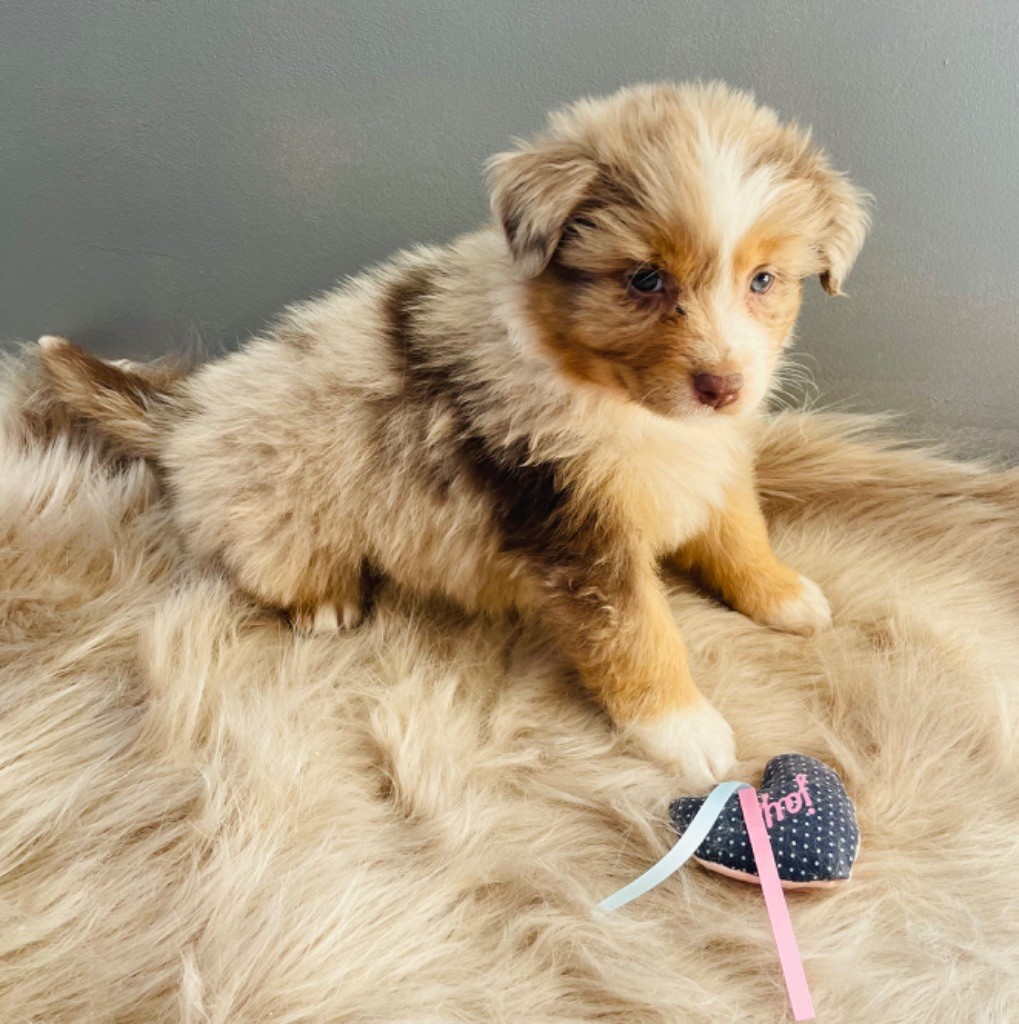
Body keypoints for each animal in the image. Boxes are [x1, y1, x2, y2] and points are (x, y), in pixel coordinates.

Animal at [39, 82, 869, 788]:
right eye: (643, 280)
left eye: (762, 280)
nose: (722, 386)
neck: (618, 399)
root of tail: (193, 411)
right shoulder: (572, 524)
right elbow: (636, 631)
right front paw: (683, 729)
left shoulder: (709, 458)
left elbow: (736, 529)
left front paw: (781, 593)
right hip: (278, 503)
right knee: (269, 562)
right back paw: (325, 598)